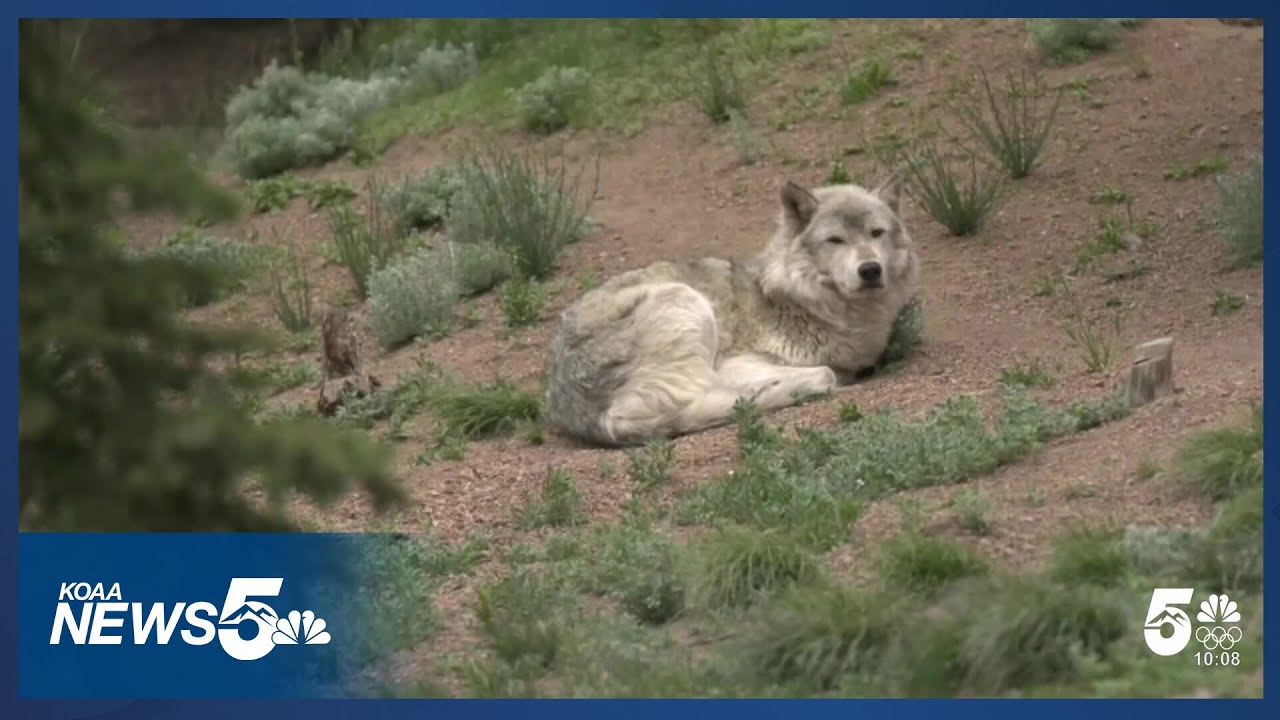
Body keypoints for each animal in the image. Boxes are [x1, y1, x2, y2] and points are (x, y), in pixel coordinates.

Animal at [543, 175, 921, 447]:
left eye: (876, 233)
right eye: (836, 240)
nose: (870, 270)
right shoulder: (735, 363)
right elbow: (826, 370)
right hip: (684, 302)